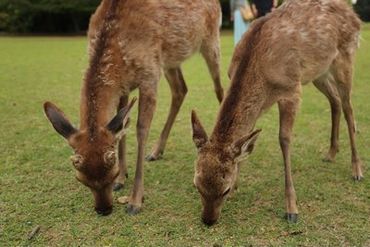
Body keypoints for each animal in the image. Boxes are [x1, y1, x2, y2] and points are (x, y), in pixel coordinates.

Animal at [43, 0, 223, 215]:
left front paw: (135, 201)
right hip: (170, 59)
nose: (104, 210)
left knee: (219, 87)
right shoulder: (124, 87)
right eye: (81, 179)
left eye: (111, 173)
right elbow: (123, 127)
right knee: (181, 89)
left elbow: (141, 130)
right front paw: (123, 180)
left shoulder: (149, 75)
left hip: (211, 40)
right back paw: (156, 151)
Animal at [192, 0, 362, 225]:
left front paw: (292, 209)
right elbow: (248, 140)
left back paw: (357, 169)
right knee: (334, 101)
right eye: (197, 185)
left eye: (224, 190)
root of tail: (355, 16)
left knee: (348, 107)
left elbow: (284, 139)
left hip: (345, 57)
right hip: (319, 72)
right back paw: (331, 153)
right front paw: (239, 182)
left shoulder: (291, 90)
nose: (208, 220)